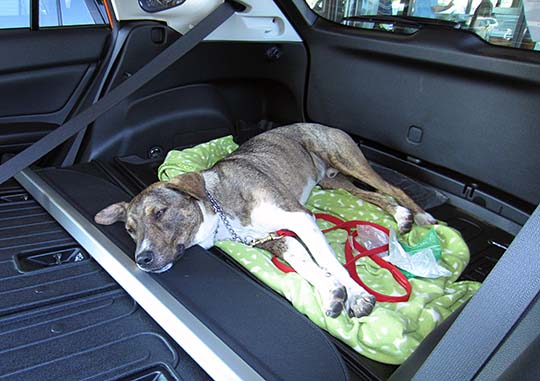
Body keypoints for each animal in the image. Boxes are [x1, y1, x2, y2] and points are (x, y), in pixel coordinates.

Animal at [95, 123, 436, 316]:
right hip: (332, 181)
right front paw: (331, 292)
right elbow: (304, 263)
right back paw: (400, 215)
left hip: (344, 159)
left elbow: (330, 261)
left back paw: (418, 215)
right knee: (371, 194)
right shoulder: (273, 238)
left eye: (160, 212)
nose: (142, 259)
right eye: (130, 230)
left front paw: (357, 294)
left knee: (391, 188)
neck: (221, 210)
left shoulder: (300, 218)